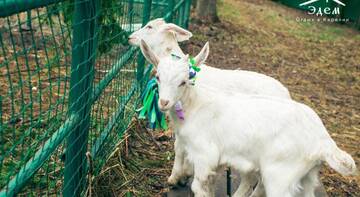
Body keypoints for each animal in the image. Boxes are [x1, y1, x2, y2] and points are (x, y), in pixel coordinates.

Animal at [139, 40, 356, 197]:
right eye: (157, 77)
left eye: (184, 81)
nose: (164, 102)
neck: (195, 106)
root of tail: (323, 140)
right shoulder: (214, 161)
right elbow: (208, 186)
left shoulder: (204, 155)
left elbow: (199, 187)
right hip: (307, 176)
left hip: (281, 174)